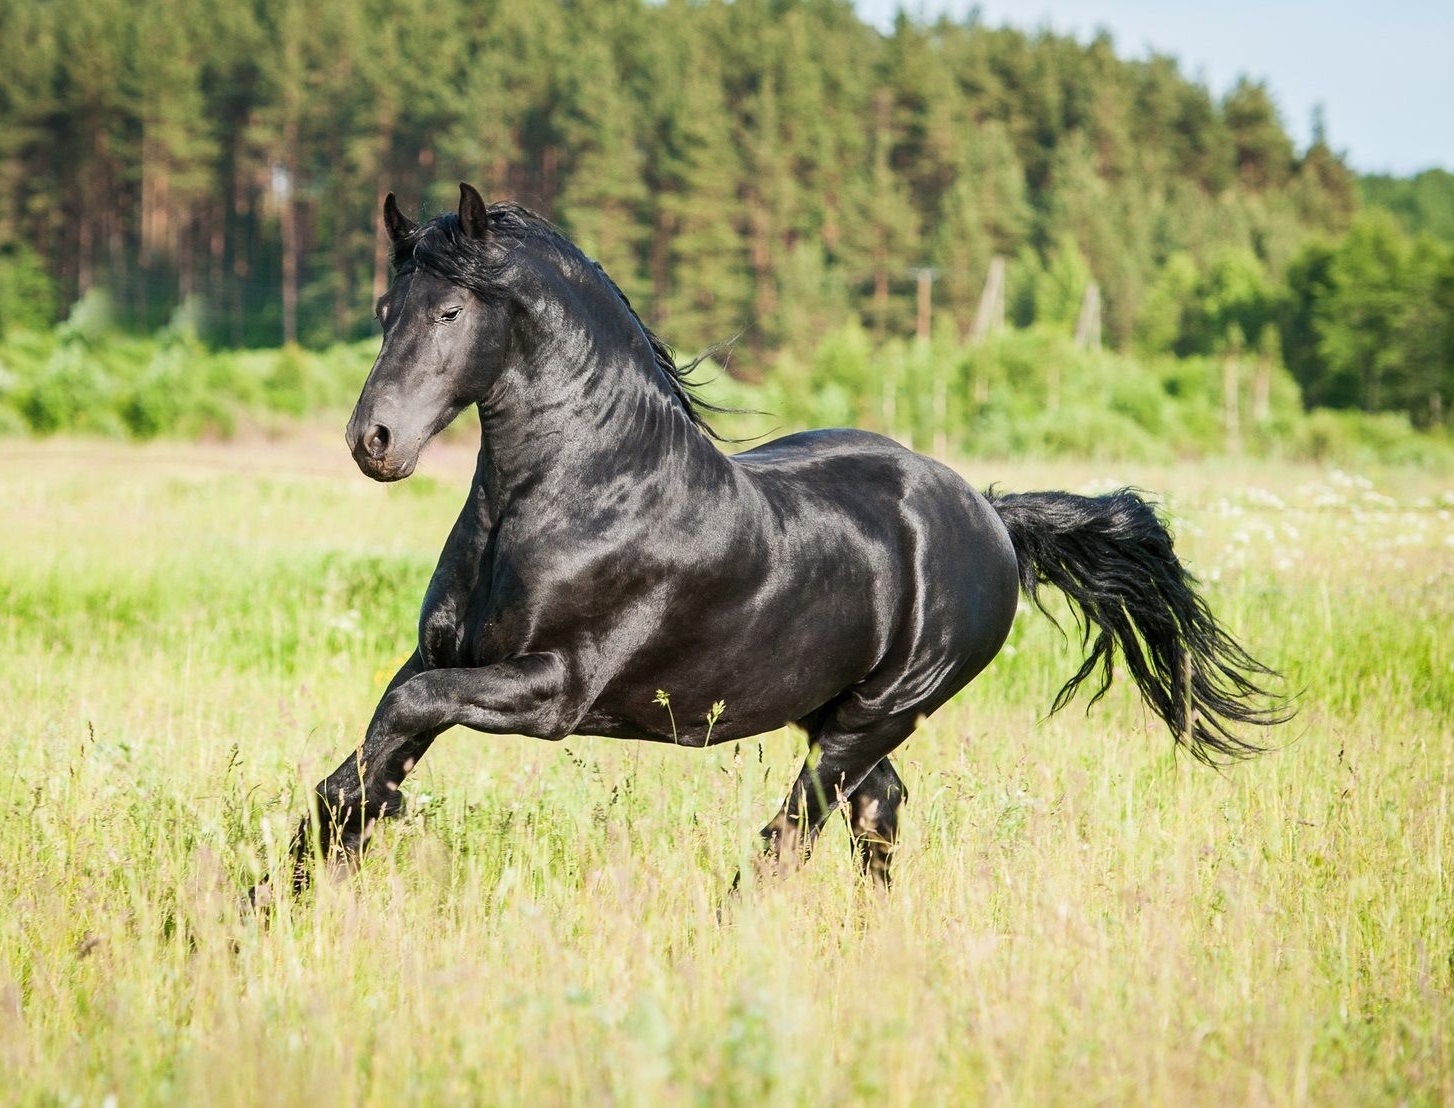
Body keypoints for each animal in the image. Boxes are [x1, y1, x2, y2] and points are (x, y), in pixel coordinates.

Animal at [258, 185, 1285, 895]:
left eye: (451, 311)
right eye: (385, 312)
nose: (374, 441)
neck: (576, 492)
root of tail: (992, 517)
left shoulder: (553, 689)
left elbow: (403, 720)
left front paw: (326, 855)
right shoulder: (442, 656)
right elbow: (383, 737)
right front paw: (293, 881)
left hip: (878, 713)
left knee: (797, 833)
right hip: (834, 712)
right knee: (878, 809)